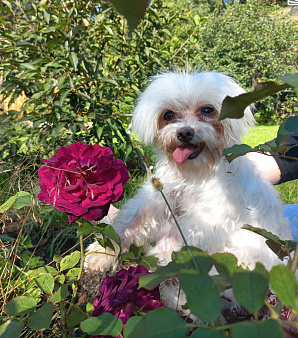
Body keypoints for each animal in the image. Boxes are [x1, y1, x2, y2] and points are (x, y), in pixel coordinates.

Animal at [85, 71, 292, 274]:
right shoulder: (159, 195)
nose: (184, 132)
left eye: (207, 110)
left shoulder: (208, 219)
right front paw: (102, 252)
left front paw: (156, 262)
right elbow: (128, 221)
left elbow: (176, 240)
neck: (195, 173)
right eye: (168, 115)